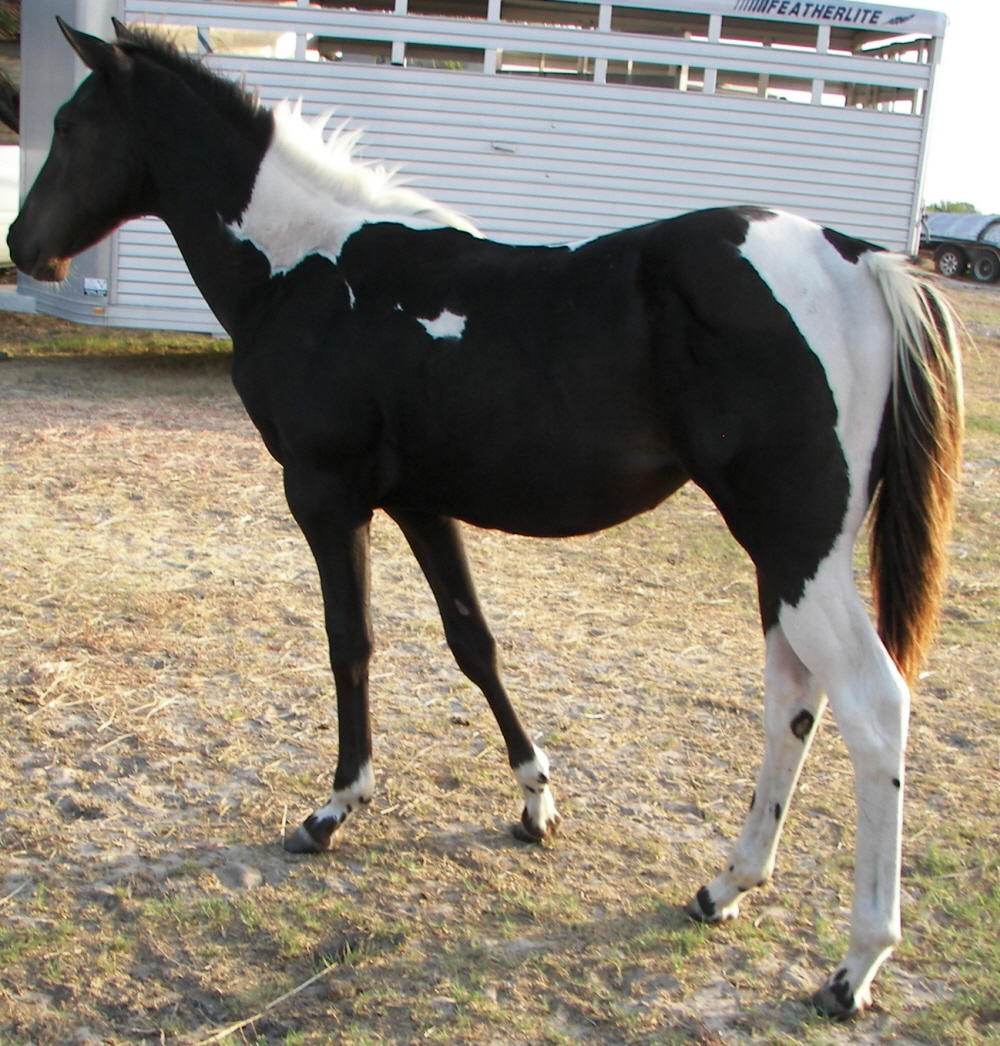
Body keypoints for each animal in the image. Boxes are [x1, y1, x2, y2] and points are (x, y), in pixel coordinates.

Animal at [9, 19, 963, 1020]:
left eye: (70, 125)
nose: (24, 245)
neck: (308, 269)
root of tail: (851, 256)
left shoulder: (325, 493)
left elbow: (350, 643)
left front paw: (332, 811)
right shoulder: (421, 503)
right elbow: (473, 641)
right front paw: (535, 802)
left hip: (796, 545)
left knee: (872, 705)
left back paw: (855, 965)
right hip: (785, 557)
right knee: (794, 698)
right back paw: (725, 887)